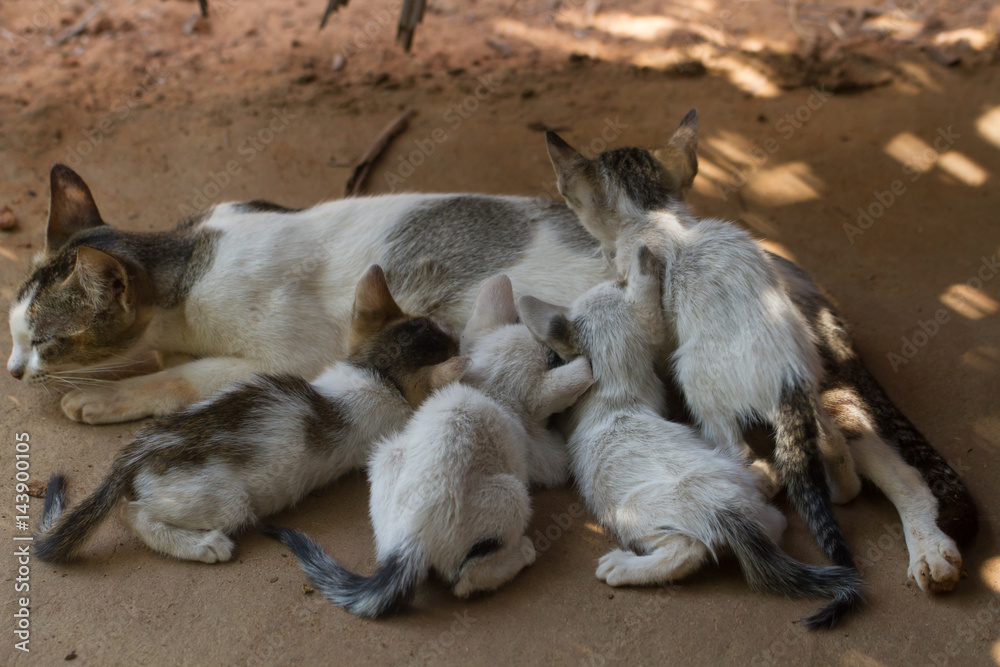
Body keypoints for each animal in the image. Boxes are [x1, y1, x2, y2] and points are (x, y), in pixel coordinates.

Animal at [34, 266, 464, 564]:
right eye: (452, 344)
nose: (458, 335)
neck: (374, 370)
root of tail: (133, 456)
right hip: (230, 503)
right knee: (131, 513)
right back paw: (204, 545)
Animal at [266, 274, 592, 620]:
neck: (489, 389)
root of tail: (411, 541)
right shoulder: (540, 453)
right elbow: (559, 459)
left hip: (387, 455)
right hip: (512, 494)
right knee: (465, 582)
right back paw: (520, 555)